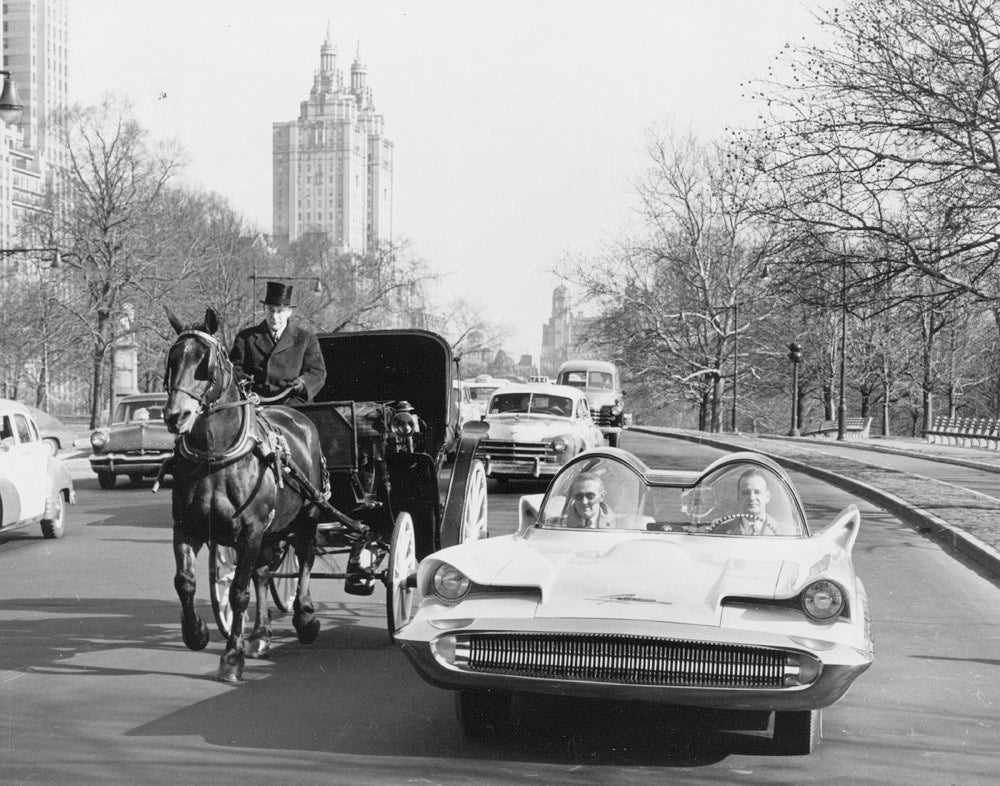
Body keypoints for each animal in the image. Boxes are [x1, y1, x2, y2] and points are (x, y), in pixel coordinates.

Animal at [161, 306, 324, 680]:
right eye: (172, 359)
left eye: (205, 362)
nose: (176, 415)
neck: (214, 456)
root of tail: (298, 418)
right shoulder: (187, 528)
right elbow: (185, 581)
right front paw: (196, 633)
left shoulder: (249, 531)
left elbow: (238, 592)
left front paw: (232, 656)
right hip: (271, 530)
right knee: (264, 573)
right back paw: (260, 635)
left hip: (307, 515)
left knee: (305, 558)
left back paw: (305, 616)